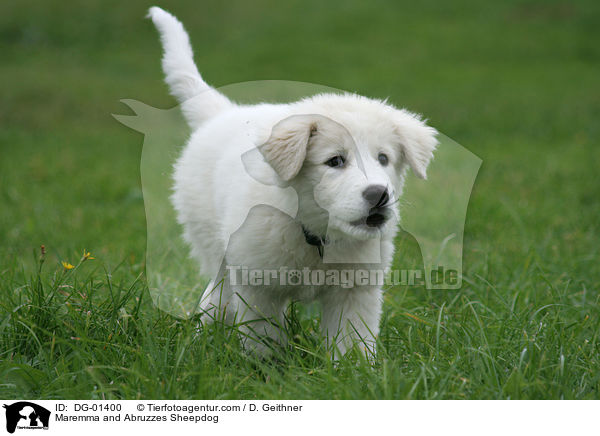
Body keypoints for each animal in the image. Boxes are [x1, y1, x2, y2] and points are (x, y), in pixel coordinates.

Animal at [148, 5, 436, 358]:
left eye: (383, 159)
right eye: (335, 161)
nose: (378, 194)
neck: (316, 233)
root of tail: (224, 112)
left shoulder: (356, 288)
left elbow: (351, 341)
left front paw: (351, 368)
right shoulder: (258, 285)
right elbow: (262, 338)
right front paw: (264, 367)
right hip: (214, 246)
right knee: (216, 296)